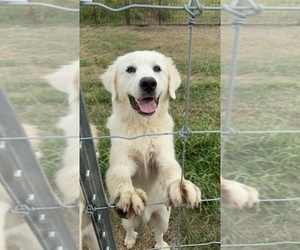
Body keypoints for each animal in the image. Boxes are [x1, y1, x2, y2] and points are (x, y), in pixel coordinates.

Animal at [101, 50, 202, 248]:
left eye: (157, 68)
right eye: (130, 69)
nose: (148, 83)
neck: (143, 126)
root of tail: (146, 215)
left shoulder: (162, 156)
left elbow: (171, 168)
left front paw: (179, 185)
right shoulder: (121, 162)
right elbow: (119, 175)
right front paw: (128, 194)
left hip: (164, 216)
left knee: (159, 234)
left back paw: (162, 246)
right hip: (127, 220)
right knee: (131, 229)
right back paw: (129, 240)